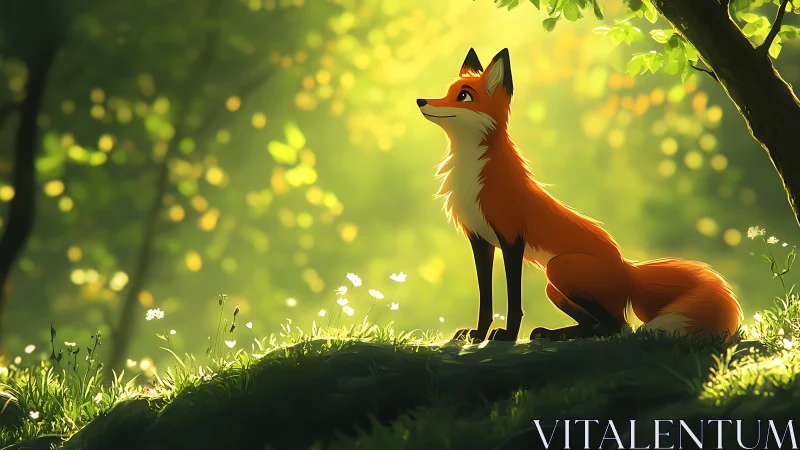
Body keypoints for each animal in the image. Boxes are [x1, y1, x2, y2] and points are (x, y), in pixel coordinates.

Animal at [416, 47, 743, 342]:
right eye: (447, 91)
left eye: (464, 96)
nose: (421, 100)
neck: (474, 175)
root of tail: (626, 267)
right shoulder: (480, 239)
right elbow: (486, 301)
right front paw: (478, 334)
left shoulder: (511, 239)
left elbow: (513, 301)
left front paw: (507, 336)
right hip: (554, 286)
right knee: (600, 325)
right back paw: (553, 333)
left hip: (558, 269)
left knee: (620, 326)